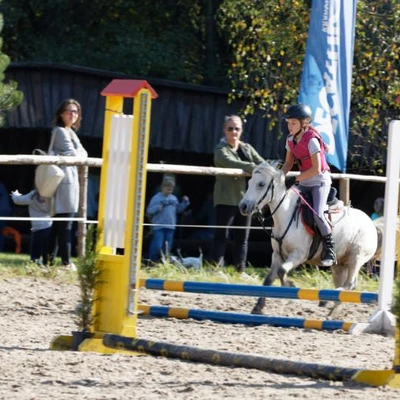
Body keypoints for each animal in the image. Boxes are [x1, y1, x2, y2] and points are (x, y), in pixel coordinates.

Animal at [238, 161, 378, 314]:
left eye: (261, 184)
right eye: (249, 182)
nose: (243, 206)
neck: (286, 214)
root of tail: (371, 223)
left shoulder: (298, 255)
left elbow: (282, 272)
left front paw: (291, 285)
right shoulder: (277, 255)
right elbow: (269, 279)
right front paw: (258, 307)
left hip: (356, 257)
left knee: (349, 284)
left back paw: (327, 304)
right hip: (340, 264)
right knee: (344, 285)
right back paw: (331, 306)